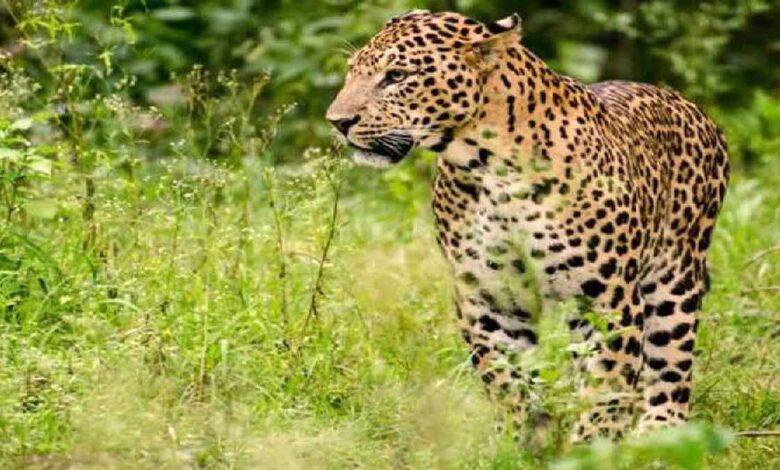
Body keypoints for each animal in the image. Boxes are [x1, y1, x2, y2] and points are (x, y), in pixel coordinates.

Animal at [326, 10, 729, 442]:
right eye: (352, 71)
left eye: (397, 76)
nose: (337, 122)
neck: (490, 170)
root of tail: (690, 106)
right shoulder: (488, 300)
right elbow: (507, 382)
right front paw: (519, 441)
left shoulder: (607, 301)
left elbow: (604, 389)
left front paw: (590, 446)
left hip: (674, 281)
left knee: (671, 366)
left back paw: (660, 432)